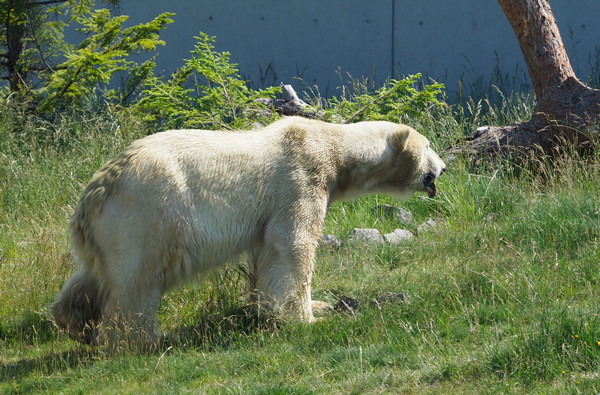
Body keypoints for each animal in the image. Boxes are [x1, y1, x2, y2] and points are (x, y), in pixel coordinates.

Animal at [51, 117, 446, 346]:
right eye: (429, 145)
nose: (443, 167)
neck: (330, 147)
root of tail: (94, 194)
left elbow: (264, 254)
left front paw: (296, 305)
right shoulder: (299, 179)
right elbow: (292, 244)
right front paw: (306, 316)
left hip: (109, 231)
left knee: (93, 277)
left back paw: (75, 323)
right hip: (148, 213)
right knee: (136, 283)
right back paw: (140, 339)